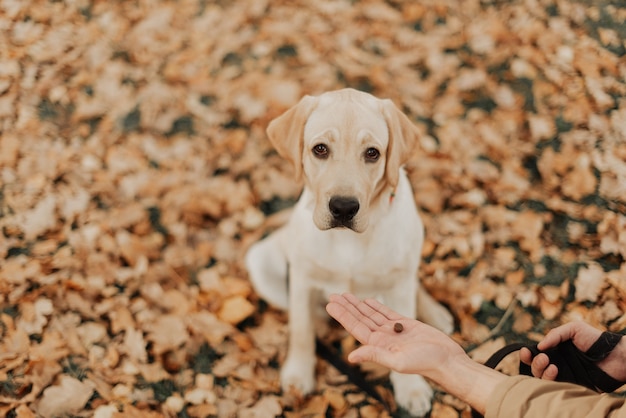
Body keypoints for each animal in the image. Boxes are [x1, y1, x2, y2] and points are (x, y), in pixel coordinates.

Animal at [245, 87, 454, 414]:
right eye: (319, 149)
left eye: (372, 153)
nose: (343, 208)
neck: (348, 241)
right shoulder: (301, 280)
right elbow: (301, 330)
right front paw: (298, 374)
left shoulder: (398, 284)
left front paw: (410, 387)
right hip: (262, 262)